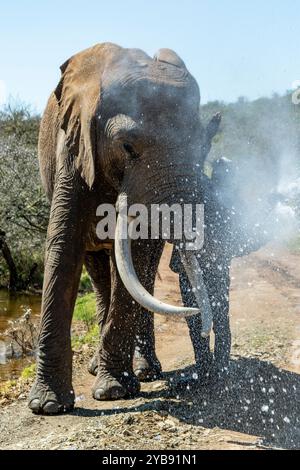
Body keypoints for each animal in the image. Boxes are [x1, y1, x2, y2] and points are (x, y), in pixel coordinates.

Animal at [29, 42, 221, 414]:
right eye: (127, 147)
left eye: (203, 147)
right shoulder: (73, 149)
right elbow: (63, 249)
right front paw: (47, 405)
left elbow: (136, 256)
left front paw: (114, 391)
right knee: (96, 267)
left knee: (139, 272)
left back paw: (145, 371)